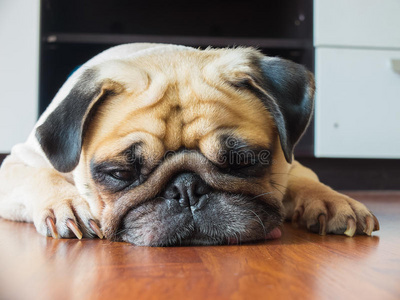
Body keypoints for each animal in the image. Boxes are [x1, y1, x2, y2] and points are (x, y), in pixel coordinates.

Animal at [0, 43, 378, 245]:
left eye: (244, 161)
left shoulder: (292, 161)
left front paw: (333, 201)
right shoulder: (18, 163)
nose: (187, 189)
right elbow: (39, 177)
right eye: (121, 174)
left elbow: (305, 178)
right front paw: (67, 204)